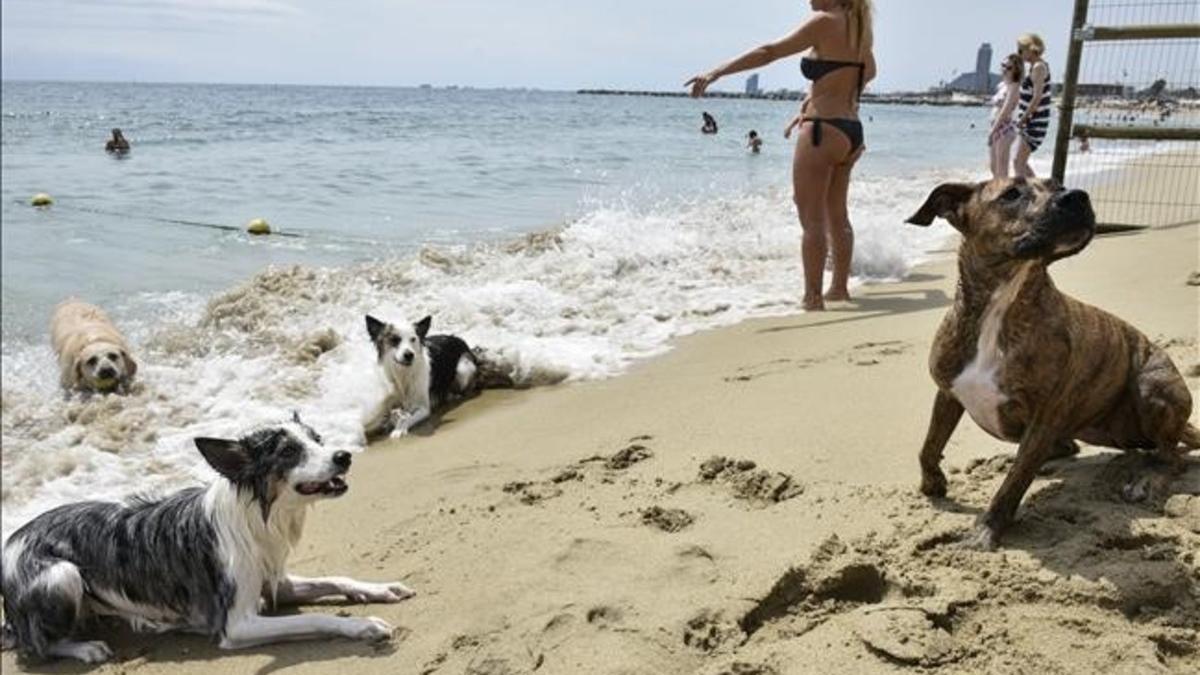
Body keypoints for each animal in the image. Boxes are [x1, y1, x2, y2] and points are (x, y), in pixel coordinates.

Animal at [0, 413, 415, 658]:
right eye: (289, 451)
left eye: (318, 439)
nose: (344, 456)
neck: (258, 516)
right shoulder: (237, 624)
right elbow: (315, 620)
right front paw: (362, 626)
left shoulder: (274, 579)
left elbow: (335, 577)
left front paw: (380, 589)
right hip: (62, 575)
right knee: (35, 645)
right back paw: (84, 649)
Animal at [907, 177, 1200, 547]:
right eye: (1011, 194)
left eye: (1057, 185)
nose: (1078, 196)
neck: (1003, 302)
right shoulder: (948, 392)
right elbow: (930, 444)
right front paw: (931, 483)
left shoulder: (1044, 417)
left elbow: (1014, 482)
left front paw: (986, 530)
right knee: (1076, 446)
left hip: (1151, 388)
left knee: (1171, 457)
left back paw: (1144, 481)